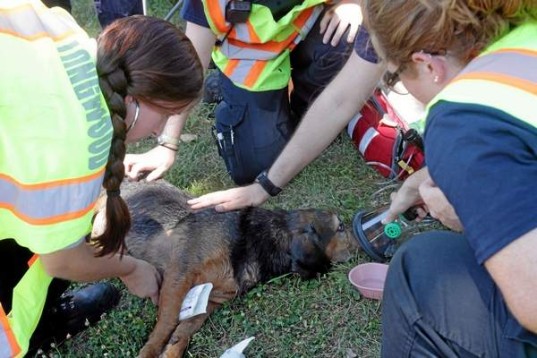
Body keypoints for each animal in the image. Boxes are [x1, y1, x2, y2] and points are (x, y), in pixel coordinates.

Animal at [93, 180, 358, 356]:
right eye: (340, 227)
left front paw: (171, 351)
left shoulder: (210, 300)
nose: (360, 236)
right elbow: (167, 322)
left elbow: (183, 332)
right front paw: (149, 352)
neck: (251, 240)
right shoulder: (179, 274)